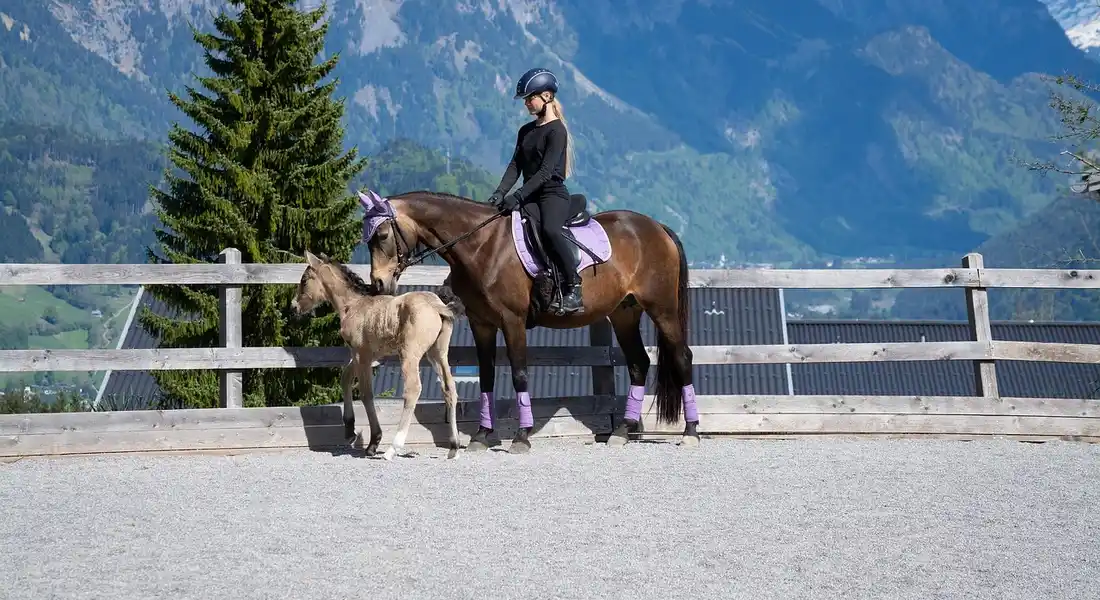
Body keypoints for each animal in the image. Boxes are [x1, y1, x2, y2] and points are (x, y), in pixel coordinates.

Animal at [291, 250, 462, 460]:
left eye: (304, 280)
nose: (294, 307)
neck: (353, 304)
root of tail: (436, 306)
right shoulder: (367, 356)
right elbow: (345, 378)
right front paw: (349, 430)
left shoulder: (361, 354)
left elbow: (366, 394)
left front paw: (373, 442)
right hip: (438, 353)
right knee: (449, 388)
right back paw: (454, 447)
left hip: (410, 354)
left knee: (413, 389)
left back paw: (392, 449)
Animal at [356, 188, 698, 454]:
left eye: (382, 236)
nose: (378, 285)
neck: (482, 245)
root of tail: (657, 227)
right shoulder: (482, 323)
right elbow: (487, 376)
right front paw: (481, 436)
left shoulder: (513, 321)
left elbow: (519, 374)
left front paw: (521, 437)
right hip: (624, 313)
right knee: (639, 362)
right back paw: (622, 432)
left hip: (662, 309)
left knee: (682, 356)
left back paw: (690, 432)